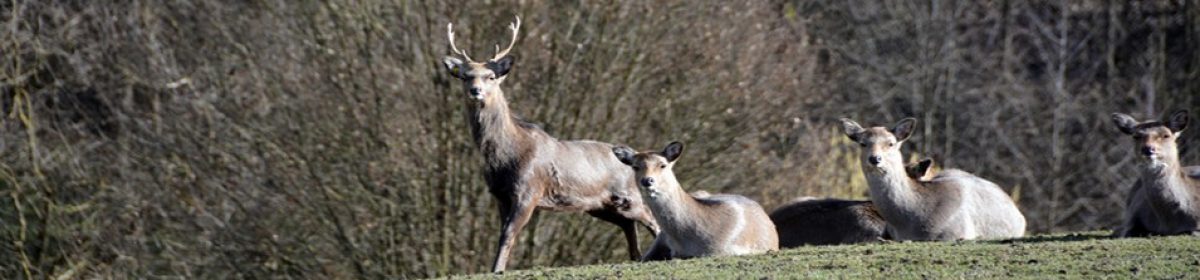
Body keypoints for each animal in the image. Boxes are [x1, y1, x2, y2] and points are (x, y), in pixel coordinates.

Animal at [446, 16, 662, 271]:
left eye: (491, 76)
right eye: (465, 76)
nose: (475, 90)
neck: (506, 155)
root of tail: (635, 156)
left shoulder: (528, 191)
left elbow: (508, 233)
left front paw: (496, 270)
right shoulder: (500, 195)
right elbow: (502, 233)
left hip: (629, 195)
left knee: (651, 218)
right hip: (601, 206)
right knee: (628, 225)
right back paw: (636, 258)